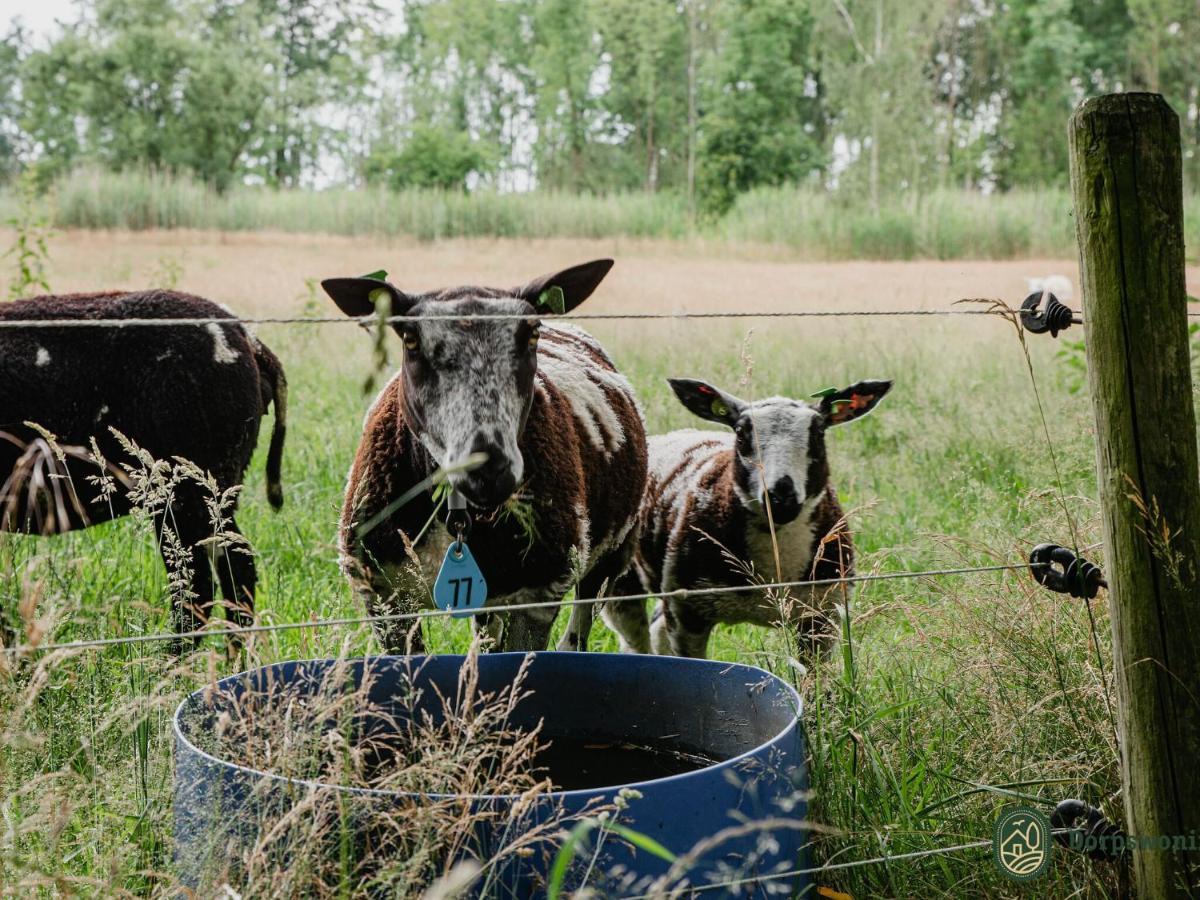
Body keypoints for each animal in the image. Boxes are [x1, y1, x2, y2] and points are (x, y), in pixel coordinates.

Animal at [0, 289, 288, 648]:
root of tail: (248, 339)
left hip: (187, 490)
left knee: (200, 583)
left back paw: (171, 660)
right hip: (210, 491)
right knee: (230, 568)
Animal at [321, 260, 648, 657]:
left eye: (532, 335)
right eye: (410, 340)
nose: (488, 469)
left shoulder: (537, 592)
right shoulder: (384, 596)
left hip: (613, 552)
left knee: (576, 634)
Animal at [600, 376, 892, 657]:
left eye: (819, 433)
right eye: (741, 433)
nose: (780, 497)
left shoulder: (823, 612)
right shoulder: (687, 612)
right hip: (622, 581)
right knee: (635, 640)